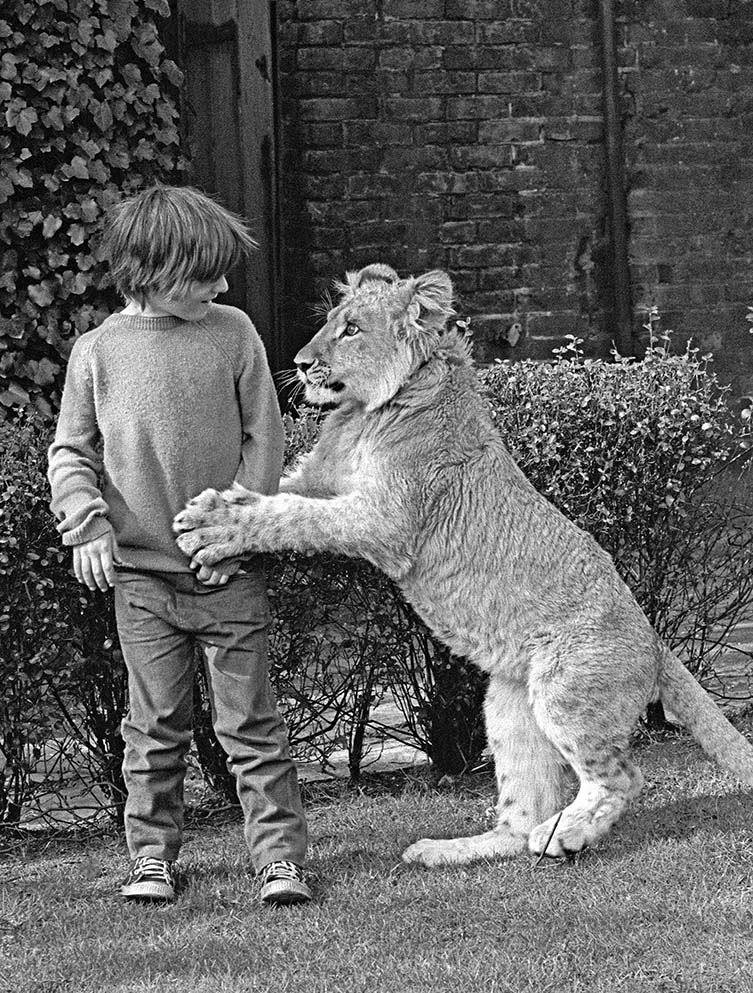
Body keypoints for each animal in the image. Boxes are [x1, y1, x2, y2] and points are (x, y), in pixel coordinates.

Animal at [175, 262, 752, 860]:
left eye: (352, 329)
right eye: (332, 321)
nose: (302, 363)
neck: (367, 412)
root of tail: (654, 640)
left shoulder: (383, 519)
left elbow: (289, 516)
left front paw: (211, 525)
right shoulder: (320, 482)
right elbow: (276, 496)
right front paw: (218, 514)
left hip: (565, 693)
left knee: (621, 777)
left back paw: (563, 836)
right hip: (509, 705)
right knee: (520, 813)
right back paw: (448, 850)